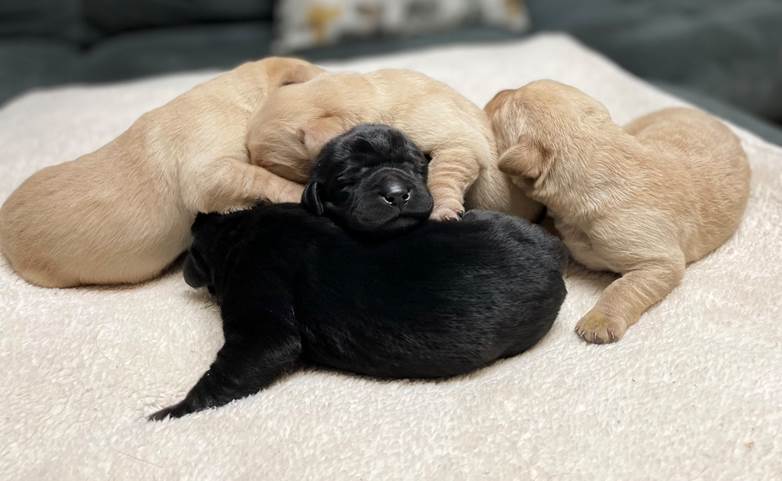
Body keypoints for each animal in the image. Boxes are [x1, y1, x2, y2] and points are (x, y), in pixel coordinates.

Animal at [152, 124, 568, 420]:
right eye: (346, 180)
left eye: (415, 166)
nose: (398, 192)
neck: (242, 229)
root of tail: (555, 251)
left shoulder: (257, 300)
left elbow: (246, 359)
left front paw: (170, 413)